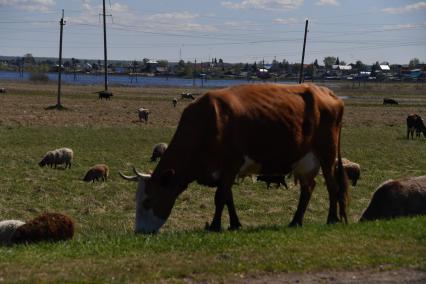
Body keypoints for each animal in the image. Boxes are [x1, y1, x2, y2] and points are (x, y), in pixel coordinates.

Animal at [118, 83, 348, 234]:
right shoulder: (224, 172)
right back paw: (296, 221)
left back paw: (332, 219)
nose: (139, 231)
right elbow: (227, 197)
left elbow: (220, 197)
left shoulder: (231, 165)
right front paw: (235, 224)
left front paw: (215, 226)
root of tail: (328, 93)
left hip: (327, 155)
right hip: (304, 162)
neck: (208, 122)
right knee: (308, 189)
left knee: (332, 186)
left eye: (148, 201)